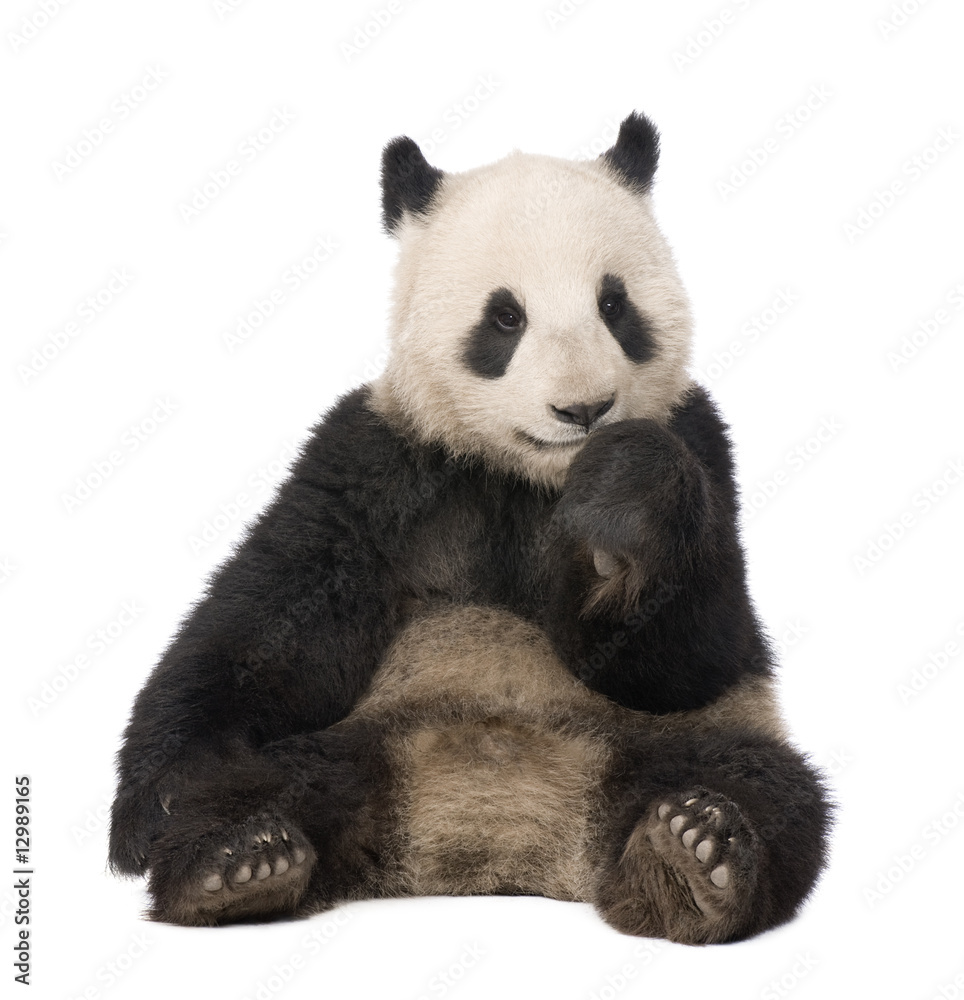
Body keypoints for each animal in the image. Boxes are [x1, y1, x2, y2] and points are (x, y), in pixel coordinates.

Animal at [109, 111, 831, 945]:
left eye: (614, 306)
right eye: (505, 316)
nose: (584, 409)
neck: (528, 479)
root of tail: (496, 841)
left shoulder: (705, 450)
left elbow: (689, 656)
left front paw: (620, 512)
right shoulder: (377, 463)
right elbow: (269, 621)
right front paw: (156, 804)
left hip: (675, 741)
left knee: (761, 783)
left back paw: (690, 857)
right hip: (361, 735)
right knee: (275, 777)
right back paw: (237, 859)